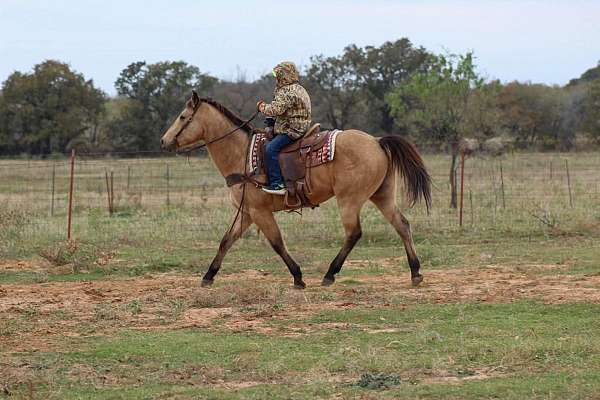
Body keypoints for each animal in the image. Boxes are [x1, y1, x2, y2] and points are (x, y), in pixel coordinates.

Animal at [159, 91, 432, 288]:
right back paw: (415, 272)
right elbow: (226, 241)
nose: (164, 141)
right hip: (382, 196)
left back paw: (329, 274)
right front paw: (208, 275)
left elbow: (277, 243)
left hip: (349, 199)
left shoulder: (260, 212)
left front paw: (298, 277)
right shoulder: (246, 212)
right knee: (402, 225)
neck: (241, 154)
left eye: (182, 117)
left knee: (354, 233)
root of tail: (376, 141)